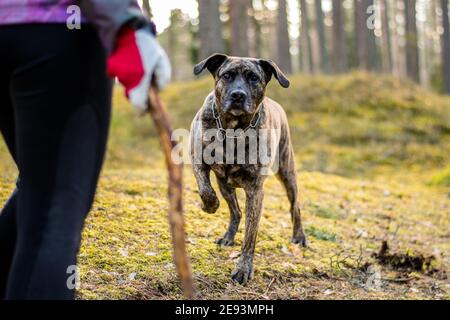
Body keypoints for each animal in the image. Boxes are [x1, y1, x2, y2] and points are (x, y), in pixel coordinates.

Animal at [188, 53, 308, 284]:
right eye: (227, 75)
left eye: (253, 77)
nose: (238, 95)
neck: (233, 130)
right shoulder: (198, 160)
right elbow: (205, 190)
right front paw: (210, 206)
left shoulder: (255, 190)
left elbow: (250, 235)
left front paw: (243, 268)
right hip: (225, 185)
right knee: (235, 211)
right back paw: (228, 236)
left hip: (287, 172)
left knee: (295, 206)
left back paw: (299, 236)